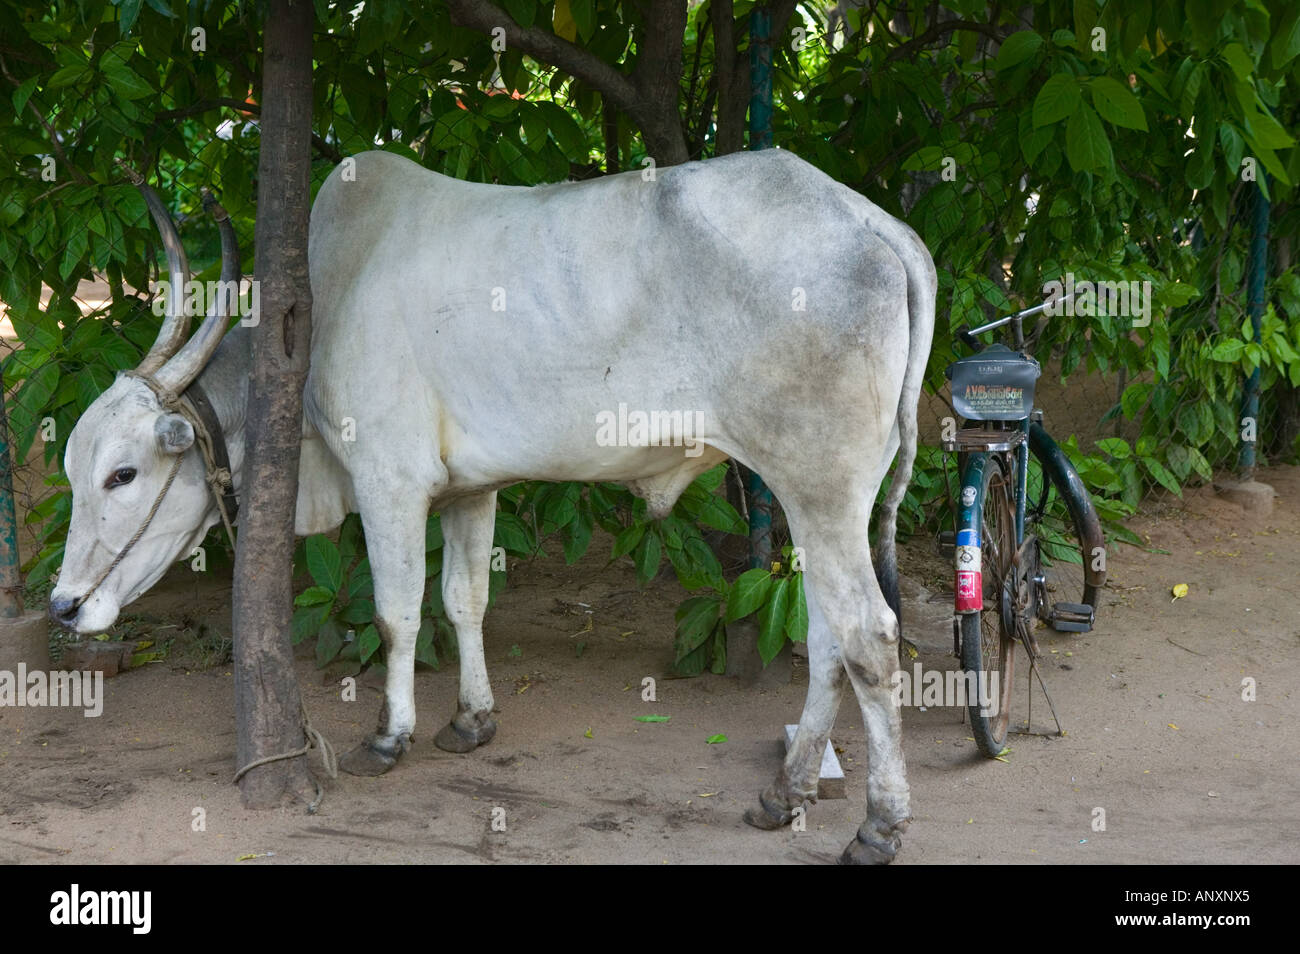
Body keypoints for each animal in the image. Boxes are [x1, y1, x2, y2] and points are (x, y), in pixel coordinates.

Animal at [48, 151, 935, 868]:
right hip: (815, 498)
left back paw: (879, 827)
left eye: (122, 474)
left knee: (869, 638)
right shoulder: (470, 491)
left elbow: (398, 612)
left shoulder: (389, 481)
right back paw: (787, 792)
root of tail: (876, 223)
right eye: (74, 470)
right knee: (828, 639)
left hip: (821, 488)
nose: (63, 605)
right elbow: (464, 600)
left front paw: (388, 735)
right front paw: (472, 721)